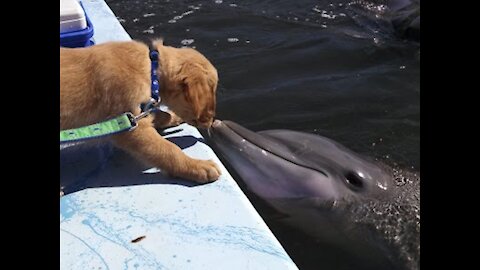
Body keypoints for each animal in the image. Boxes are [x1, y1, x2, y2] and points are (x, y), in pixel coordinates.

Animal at [60, 39, 223, 182]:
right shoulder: (131, 128)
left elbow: (159, 114)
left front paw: (174, 117)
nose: (212, 122)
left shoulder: (137, 114)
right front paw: (198, 166)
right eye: (211, 92)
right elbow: (168, 150)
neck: (152, 69)